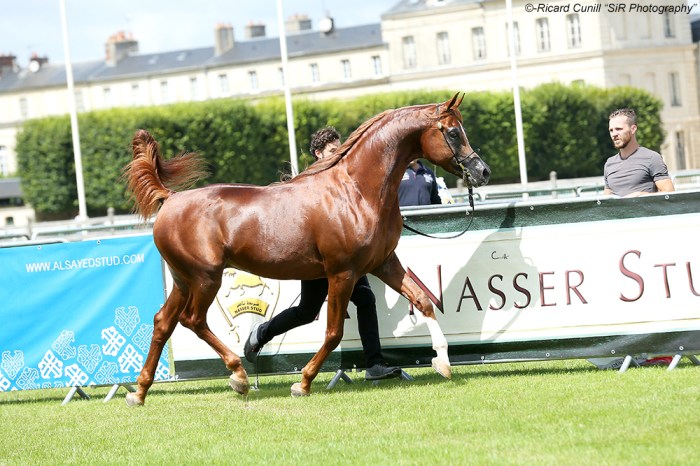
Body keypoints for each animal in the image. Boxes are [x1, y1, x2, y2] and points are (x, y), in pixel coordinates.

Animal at [123, 93, 490, 405]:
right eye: (453, 132)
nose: (482, 171)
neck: (357, 191)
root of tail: (171, 199)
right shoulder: (342, 273)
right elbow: (333, 331)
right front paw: (303, 382)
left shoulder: (383, 263)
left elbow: (424, 301)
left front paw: (442, 362)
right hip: (206, 278)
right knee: (193, 320)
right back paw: (238, 375)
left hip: (184, 280)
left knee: (163, 322)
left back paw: (139, 391)